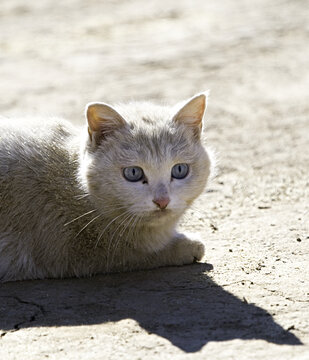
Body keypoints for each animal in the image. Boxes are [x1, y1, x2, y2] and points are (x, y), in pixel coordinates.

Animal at [0, 92, 212, 282]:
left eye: (179, 170)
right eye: (133, 173)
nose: (162, 201)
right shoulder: (81, 252)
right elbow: (137, 253)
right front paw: (185, 246)